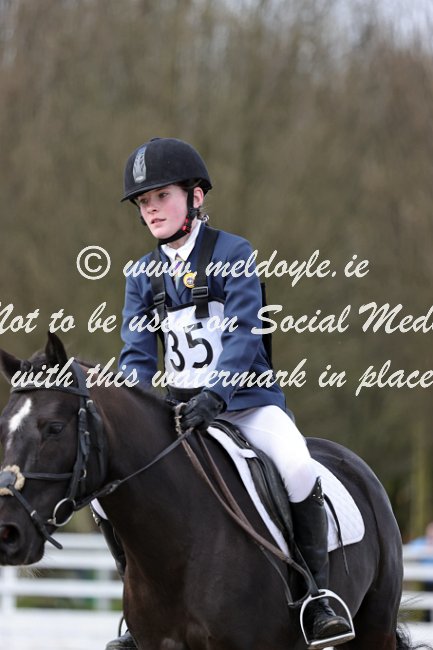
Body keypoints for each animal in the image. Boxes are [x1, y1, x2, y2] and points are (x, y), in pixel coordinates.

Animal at [0, 334, 427, 650]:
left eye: (54, 428)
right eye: (3, 427)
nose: (8, 534)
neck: (178, 546)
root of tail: (354, 464)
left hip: (374, 628)